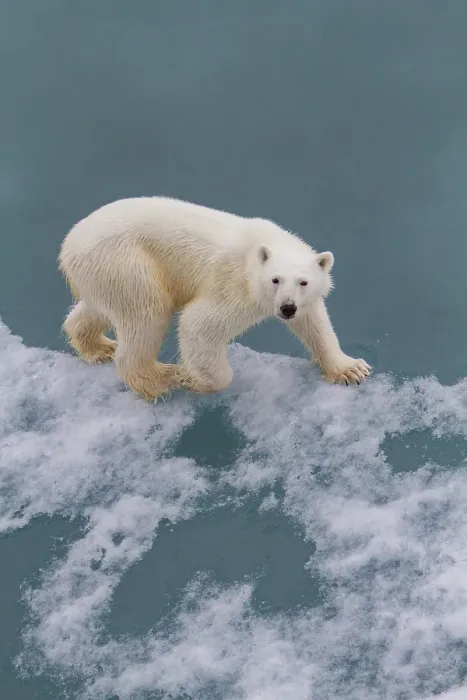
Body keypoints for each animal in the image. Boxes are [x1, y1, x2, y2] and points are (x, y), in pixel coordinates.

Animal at [59, 196, 371, 399]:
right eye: (275, 279)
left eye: (303, 282)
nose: (287, 308)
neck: (262, 247)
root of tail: (68, 245)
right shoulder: (234, 286)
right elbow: (198, 325)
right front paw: (192, 379)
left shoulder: (305, 301)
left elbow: (315, 324)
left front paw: (351, 369)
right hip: (126, 262)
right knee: (147, 314)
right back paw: (161, 379)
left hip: (102, 274)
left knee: (96, 309)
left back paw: (99, 347)